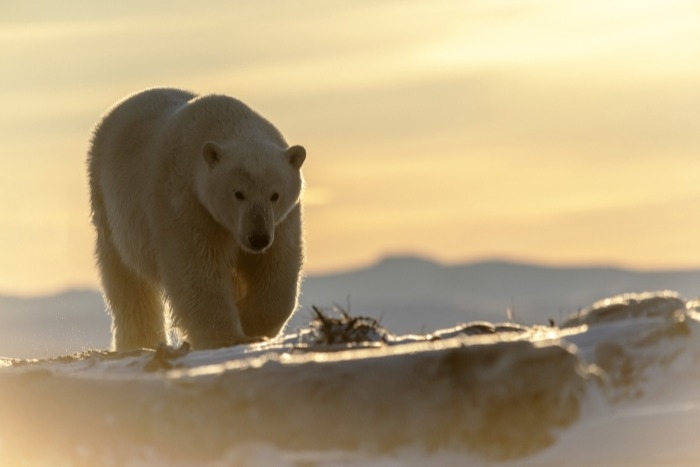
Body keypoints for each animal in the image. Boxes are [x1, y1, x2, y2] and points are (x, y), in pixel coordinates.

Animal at [87, 88, 306, 352]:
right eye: (238, 193)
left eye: (275, 195)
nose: (258, 238)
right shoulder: (186, 202)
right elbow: (196, 267)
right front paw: (225, 337)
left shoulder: (281, 222)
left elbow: (277, 265)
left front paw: (251, 323)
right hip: (109, 206)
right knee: (127, 280)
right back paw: (139, 342)